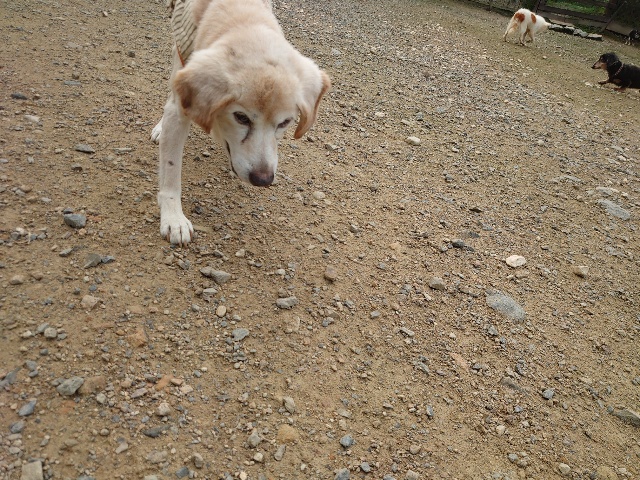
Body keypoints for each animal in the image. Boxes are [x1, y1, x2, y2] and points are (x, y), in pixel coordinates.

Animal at [151, 0, 331, 245]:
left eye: (285, 122)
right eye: (241, 117)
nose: (263, 180)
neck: (241, 15)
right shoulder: (178, 111)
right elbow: (171, 171)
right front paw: (174, 219)